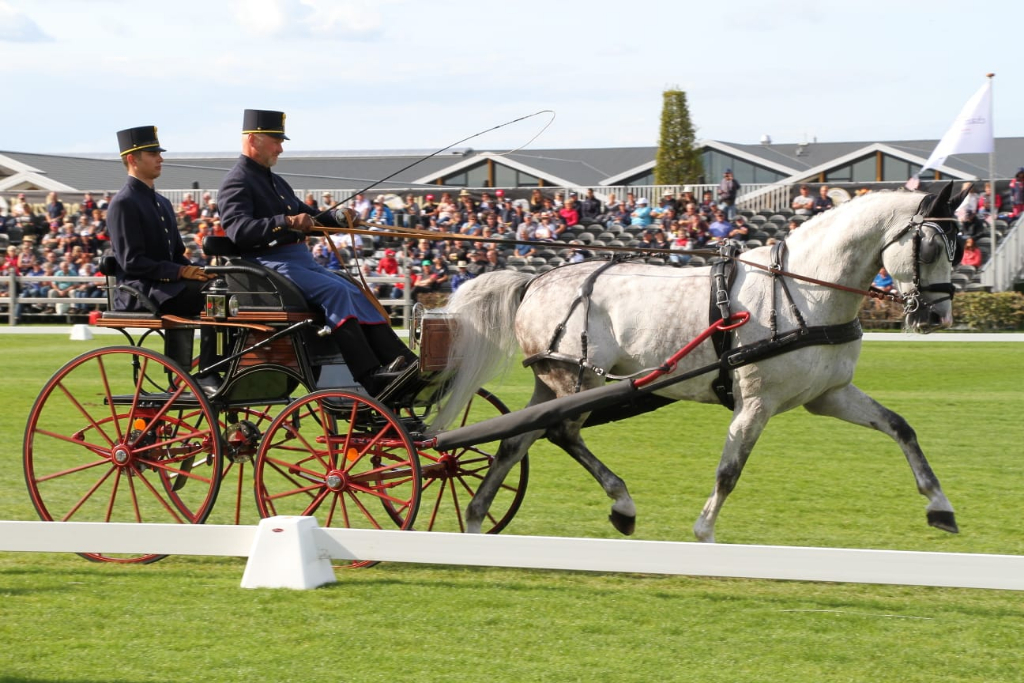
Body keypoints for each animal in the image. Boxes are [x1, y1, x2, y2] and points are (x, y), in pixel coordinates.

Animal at [436, 184, 962, 540]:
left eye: (957, 247)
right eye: (932, 246)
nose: (938, 316)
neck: (803, 290)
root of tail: (535, 280)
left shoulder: (829, 395)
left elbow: (900, 427)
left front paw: (940, 506)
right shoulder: (756, 403)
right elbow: (729, 470)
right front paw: (705, 533)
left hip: (552, 382)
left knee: (515, 440)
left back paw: (476, 518)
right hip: (576, 380)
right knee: (560, 432)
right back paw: (622, 504)